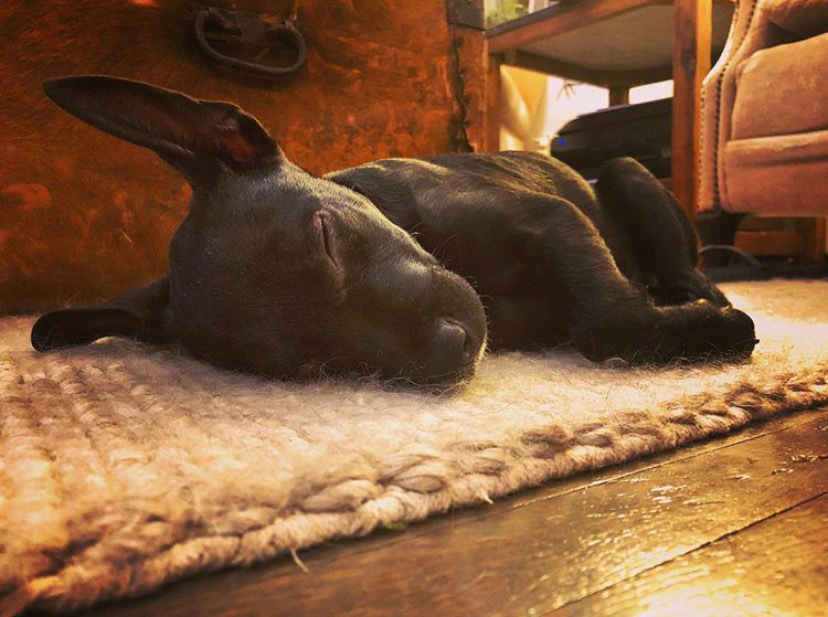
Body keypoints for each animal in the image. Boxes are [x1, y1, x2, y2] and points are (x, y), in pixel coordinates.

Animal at [32, 76, 756, 384]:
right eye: (311, 364)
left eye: (326, 238)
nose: (454, 349)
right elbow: (596, 325)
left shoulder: (553, 219)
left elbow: (606, 320)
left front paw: (712, 330)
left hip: (627, 173)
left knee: (681, 265)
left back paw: (705, 294)